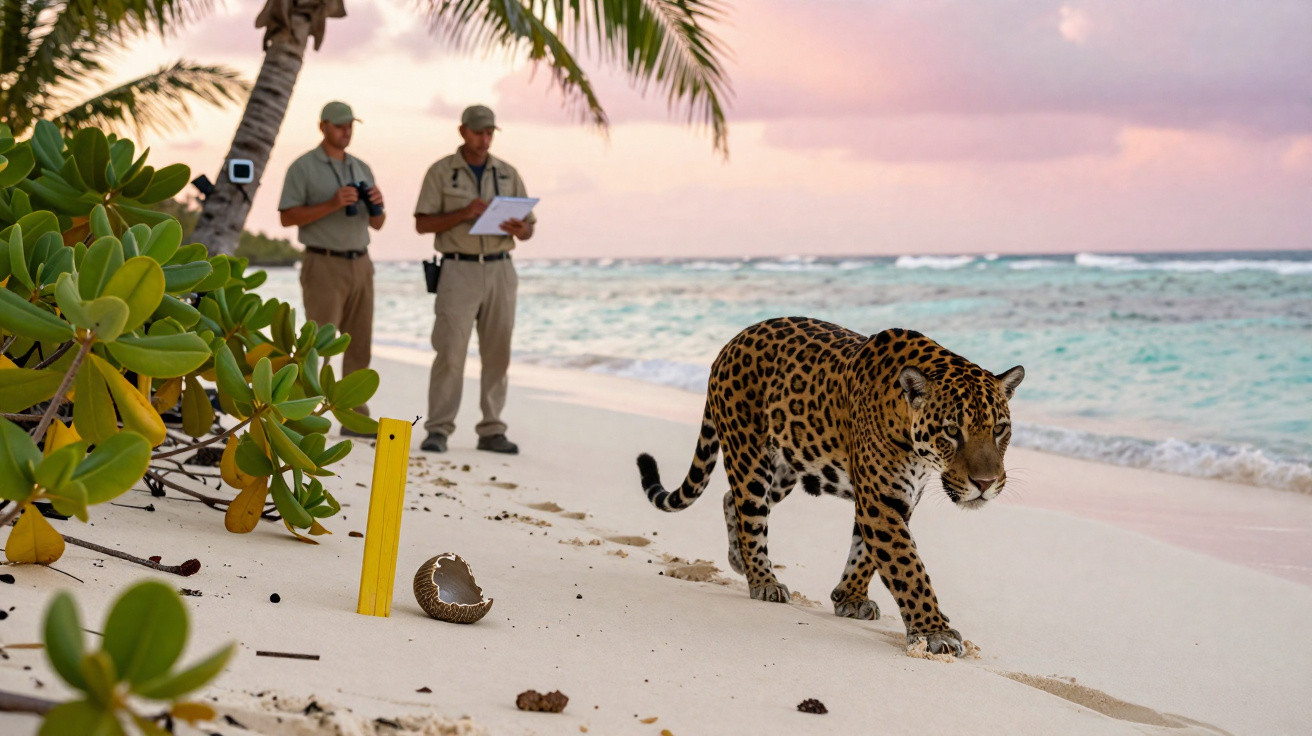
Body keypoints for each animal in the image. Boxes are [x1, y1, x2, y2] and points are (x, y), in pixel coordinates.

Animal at [635, 317, 1024, 655]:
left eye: (1000, 429)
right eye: (952, 431)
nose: (985, 483)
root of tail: (729, 344)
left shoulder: (898, 498)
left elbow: (865, 553)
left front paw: (849, 597)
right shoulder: (880, 502)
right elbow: (908, 568)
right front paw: (935, 632)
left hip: (784, 469)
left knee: (733, 500)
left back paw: (739, 560)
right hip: (749, 456)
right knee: (750, 513)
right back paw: (763, 581)